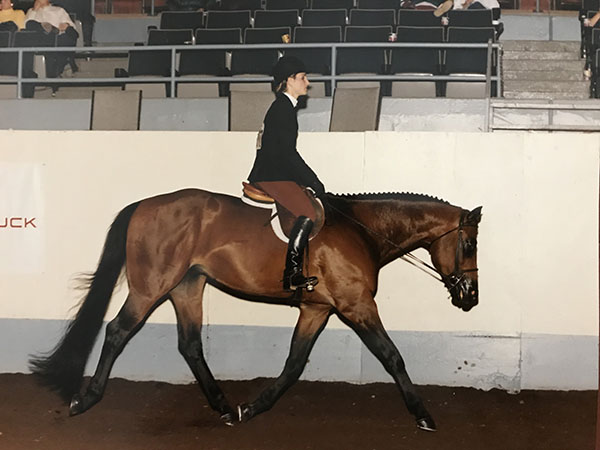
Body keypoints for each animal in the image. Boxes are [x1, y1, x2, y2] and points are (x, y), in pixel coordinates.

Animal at [29, 188, 482, 432]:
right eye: (469, 244)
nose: (471, 296)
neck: (361, 231)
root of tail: (142, 204)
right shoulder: (356, 305)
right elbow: (392, 356)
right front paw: (423, 415)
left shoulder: (317, 309)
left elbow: (294, 363)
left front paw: (253, 407)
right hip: (151, 287)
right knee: (118, 332)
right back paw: (85, 399)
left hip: (186, 287)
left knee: (190, 344)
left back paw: (224, 406)